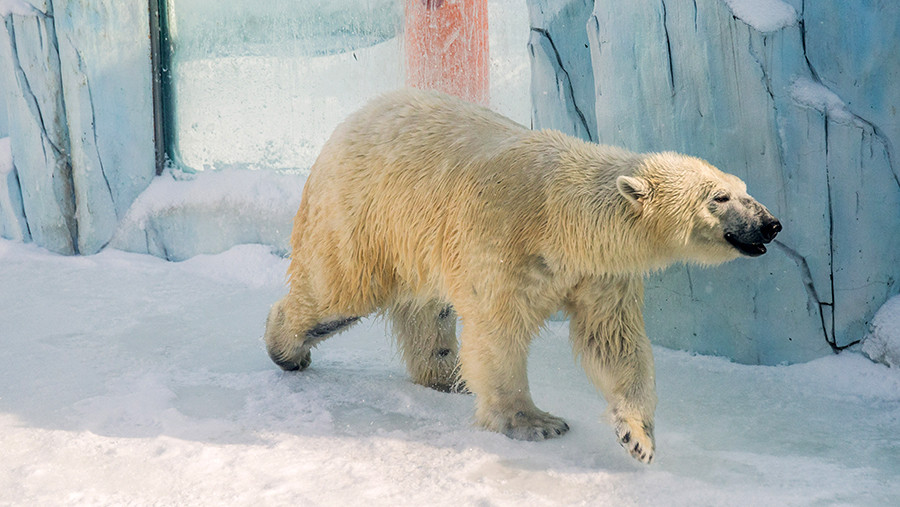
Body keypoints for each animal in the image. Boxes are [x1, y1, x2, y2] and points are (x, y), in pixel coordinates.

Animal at [264, 89, 781, 464]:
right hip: (363, 211)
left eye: (744, 188)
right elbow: (498, 331)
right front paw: (534, 422)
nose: (771, 224)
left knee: (427, 310)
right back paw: (286, 348)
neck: (559, 217)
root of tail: (349, 120)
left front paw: (637, 437)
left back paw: (447, 375)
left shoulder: (599, 272)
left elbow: (614, 342)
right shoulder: (500, 237)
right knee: (337, 295)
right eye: (718, 197)